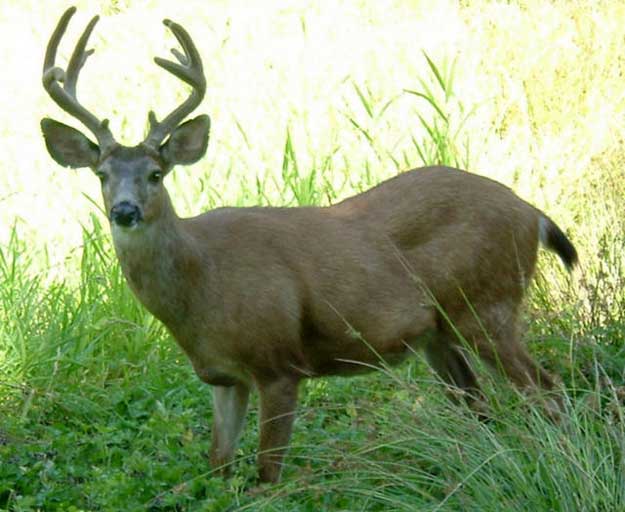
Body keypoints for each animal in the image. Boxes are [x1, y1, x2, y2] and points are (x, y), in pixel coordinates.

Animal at [40, 6, 576, 482]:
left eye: (156, 173)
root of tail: (530, 211)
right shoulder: (222, 377)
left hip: (487, 304)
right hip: (438, 332)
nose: (124, 211)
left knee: (547, 391)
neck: (203, 285)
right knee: (479, 406)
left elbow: (266, 473)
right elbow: (218, 464)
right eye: (102, 174)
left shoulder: (277, 363)